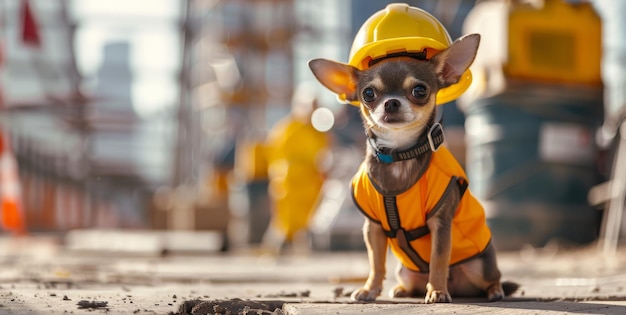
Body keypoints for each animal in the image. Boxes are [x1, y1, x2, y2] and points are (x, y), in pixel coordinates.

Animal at [308, 34, 516, 304]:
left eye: (419, 90)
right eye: (368, 93)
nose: (391, 103)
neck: (399, 155)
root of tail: (459, 286)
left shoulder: (441, 223)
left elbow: (438, 259)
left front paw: (437, 290)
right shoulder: (373, 227)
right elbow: (376, 262)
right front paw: (369, 289)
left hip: (480, 266)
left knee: (493, 277)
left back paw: (493, 291)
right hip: (405, 271)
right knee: (407, 280)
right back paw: (402, 290)